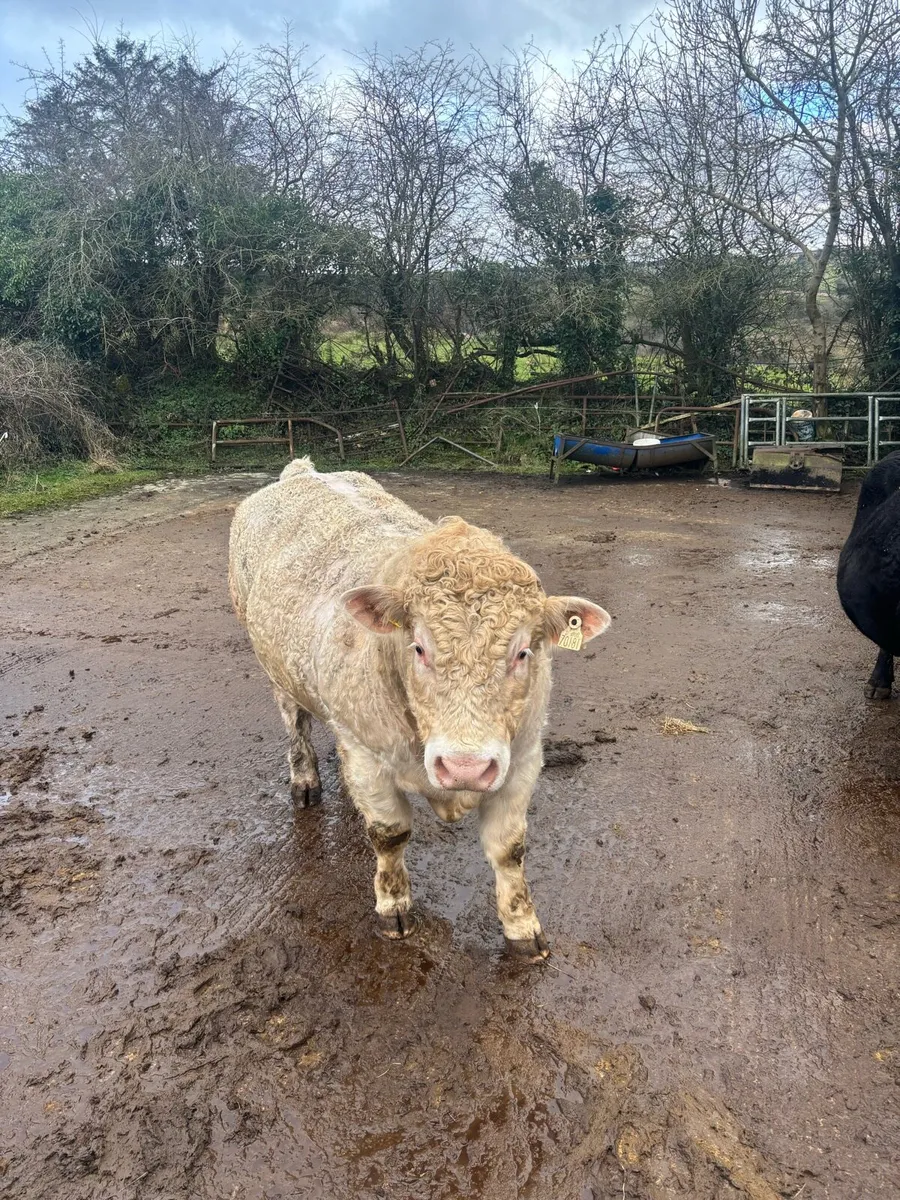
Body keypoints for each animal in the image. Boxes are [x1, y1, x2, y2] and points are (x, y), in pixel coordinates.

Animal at [229, 458, 611, 958]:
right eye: (419, 648)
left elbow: (509, 848)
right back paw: (304, 780)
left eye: (524, 652)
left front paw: (523, 927)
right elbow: (389, 835)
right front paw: (393, 907)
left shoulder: (523, 757)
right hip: (276, 671)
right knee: (296, 724)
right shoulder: (368, 756)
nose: (466, 766)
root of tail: (301, 471)